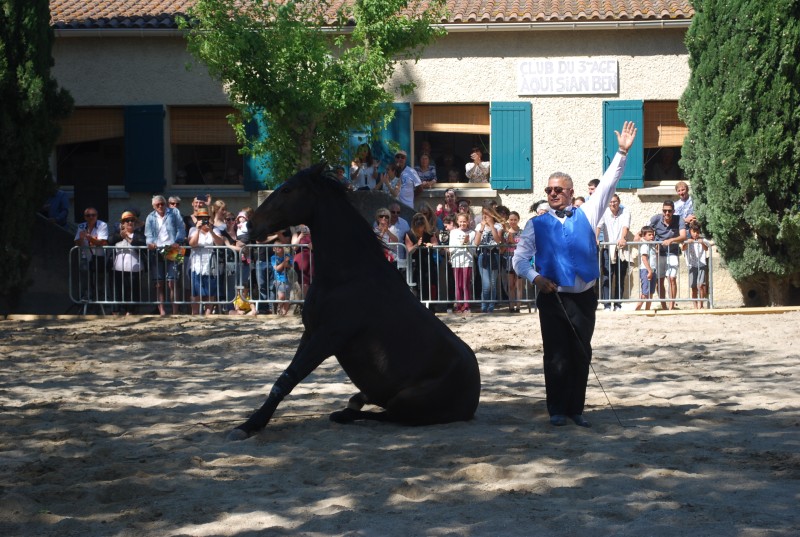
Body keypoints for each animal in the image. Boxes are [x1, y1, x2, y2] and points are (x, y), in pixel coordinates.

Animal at [228, 163, 484, 440]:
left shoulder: (328, 336)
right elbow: (285, 377)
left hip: (406, 400)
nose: (250, 225)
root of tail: (474, 399)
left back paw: (347, 411)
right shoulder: (311, 333)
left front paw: (248, 425)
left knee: (389, 414)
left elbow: (287, 379)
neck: (347, 275)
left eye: (287, 189)